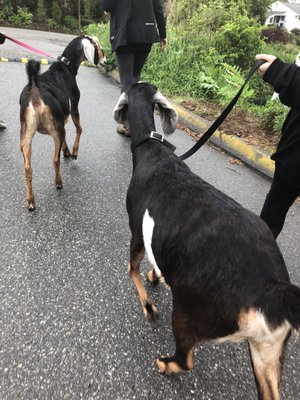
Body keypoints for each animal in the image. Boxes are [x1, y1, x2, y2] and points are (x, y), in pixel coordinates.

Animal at [19, 34, 105, 211]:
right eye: (98, 46)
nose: (105, 60)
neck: (65, 66)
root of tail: (35, 91)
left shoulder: (62, 119)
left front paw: (66, 150)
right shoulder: (74, 108)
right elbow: (79, 129)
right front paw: (74, 152)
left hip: (26, 133)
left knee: (28, 168)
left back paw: (30, 201)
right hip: (54, 130)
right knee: (55, 160)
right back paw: (58, 183)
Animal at [113, 81, 300, 400]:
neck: (153, 152)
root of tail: (271, 293)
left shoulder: (137, 230)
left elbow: (131, 269)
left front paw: (148, 305)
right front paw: (155, 276)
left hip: (189, 314)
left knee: (185, 359)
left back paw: (165, 364)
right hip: (267, 352)